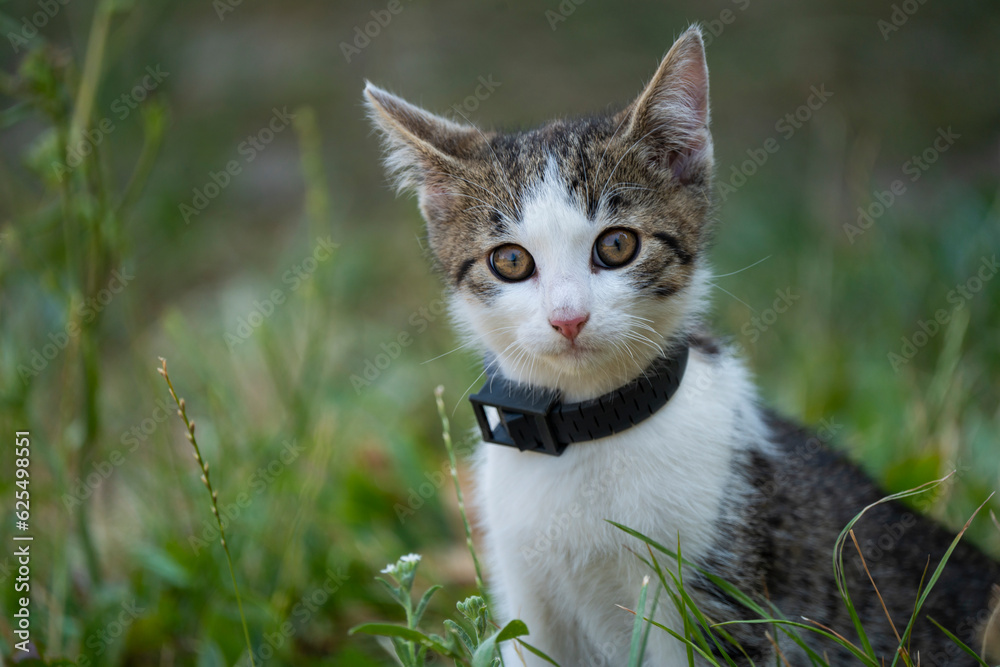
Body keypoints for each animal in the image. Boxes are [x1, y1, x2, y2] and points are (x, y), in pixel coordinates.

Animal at [368, 26, 1000, 667]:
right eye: (511, 261)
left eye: (616, 245)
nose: (568, 318)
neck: (589, 430)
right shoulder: (526, 599)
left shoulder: (718, 597)